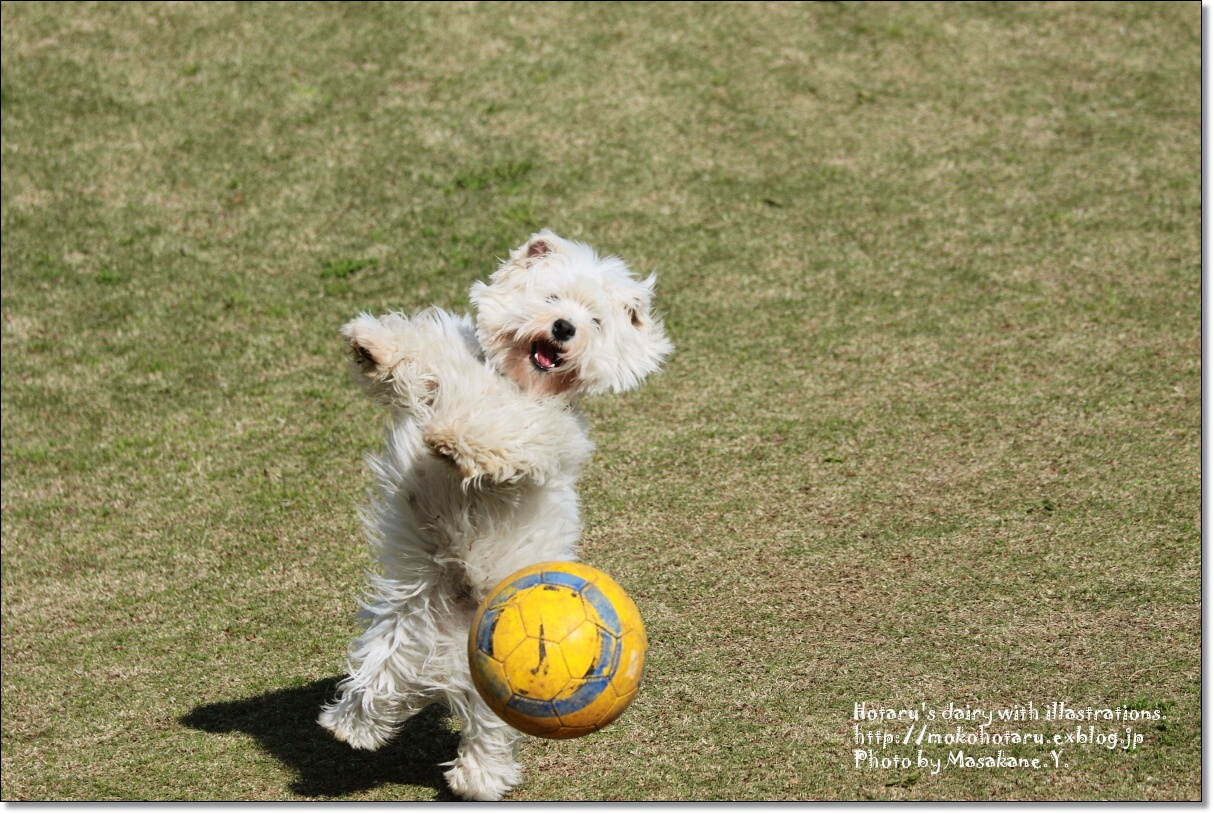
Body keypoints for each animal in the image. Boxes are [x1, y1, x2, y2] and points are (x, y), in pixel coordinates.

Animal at [318, 230, 674, 800]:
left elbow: (501, 431)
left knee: (486, 729)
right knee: (381, 682)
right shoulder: (443, 369)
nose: (564, 328)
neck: (515, 381)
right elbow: (414, 356)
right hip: (406, 633)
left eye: (596, 321)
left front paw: (454, 441)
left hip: (496, 677)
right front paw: (371, 343)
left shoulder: (542, 434)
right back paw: (351, 727)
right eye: (552, 299)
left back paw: (476, 778)